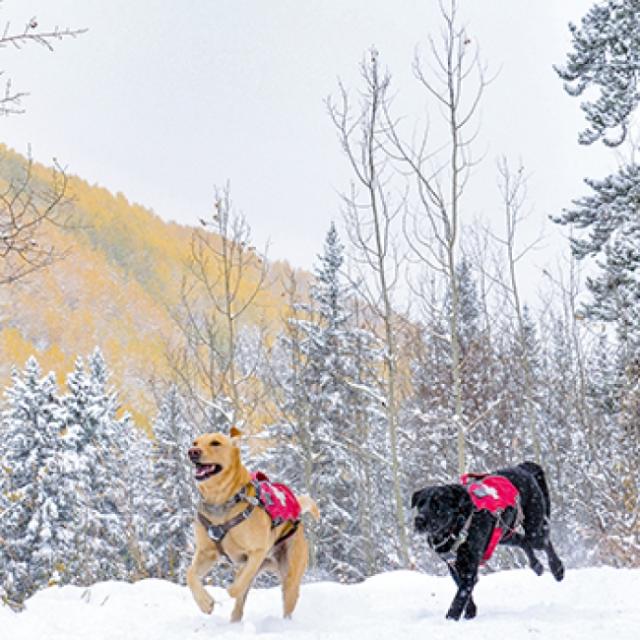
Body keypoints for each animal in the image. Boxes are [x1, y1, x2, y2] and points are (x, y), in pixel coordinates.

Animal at [412, 460, 564, 620]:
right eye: (420, 504)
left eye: (437, 505)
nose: (419, 520)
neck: (458, 527)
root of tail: (521, 467)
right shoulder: (453, 566)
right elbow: (463, 590)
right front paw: (470, 612)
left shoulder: (469, 569)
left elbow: (460, 596)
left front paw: (451, 619)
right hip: (504, 535)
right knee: (522, 540)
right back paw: (537, 566)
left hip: (534, 529)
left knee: (544, 542)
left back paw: (557, 569)